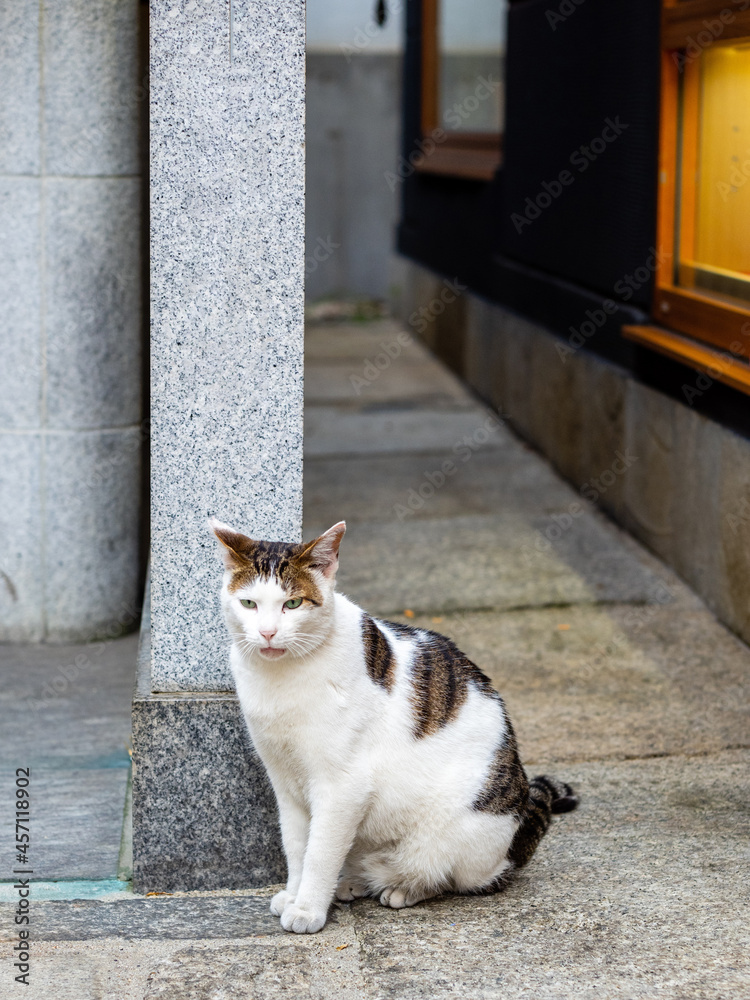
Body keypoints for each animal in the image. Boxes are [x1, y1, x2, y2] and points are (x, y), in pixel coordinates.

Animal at [213, 520, 580, 932]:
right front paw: (294, 894)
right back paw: (355, 882)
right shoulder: (285, 780)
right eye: (249, 604)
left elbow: (319, 852)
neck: (278, 680)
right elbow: (296, 847)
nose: (267, 633)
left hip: (457, 834)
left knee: (454, 877)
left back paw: (404, 887)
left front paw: (307, 909)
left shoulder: (342, 786)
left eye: (292, 604)